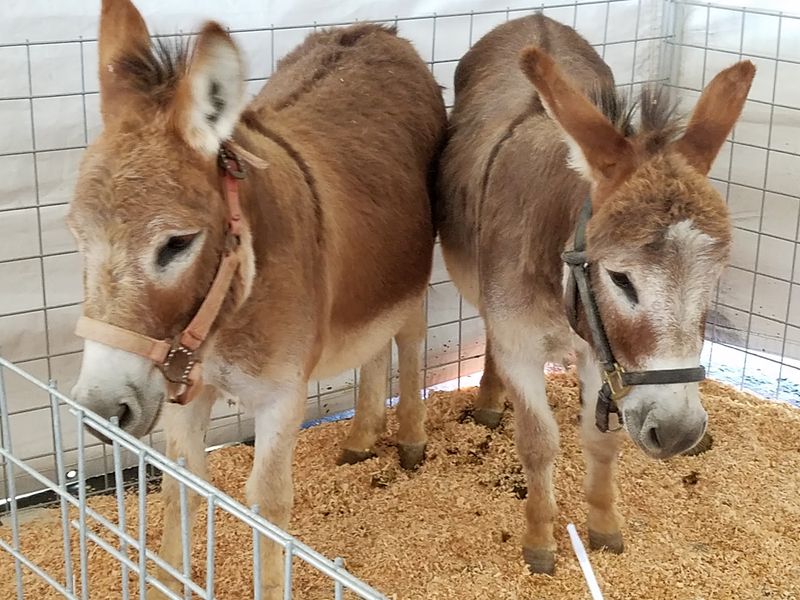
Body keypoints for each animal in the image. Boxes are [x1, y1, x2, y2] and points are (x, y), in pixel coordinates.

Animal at [66, 0, 446, 596]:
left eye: (177, 243)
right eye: (77, 236)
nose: (102, 411)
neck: (225, 318)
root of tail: (377, 31)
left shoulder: (281, 398)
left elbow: (267, 508)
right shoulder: (184, 389)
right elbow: (180, 486)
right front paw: (170, 579)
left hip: (412, 265)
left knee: (408, 335)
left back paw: (409, 438)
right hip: (371, 278)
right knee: (373, 343)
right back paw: (362, 437)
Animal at [436, 13, 754, 574]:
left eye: (714, 277)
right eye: (621, 279)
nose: (678, 432)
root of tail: (534, 19)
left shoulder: (599, 354)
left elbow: (602, 440)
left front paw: (604, 525)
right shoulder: (520, 345)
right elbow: (538, 442)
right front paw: (540, 540)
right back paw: (491, 401)